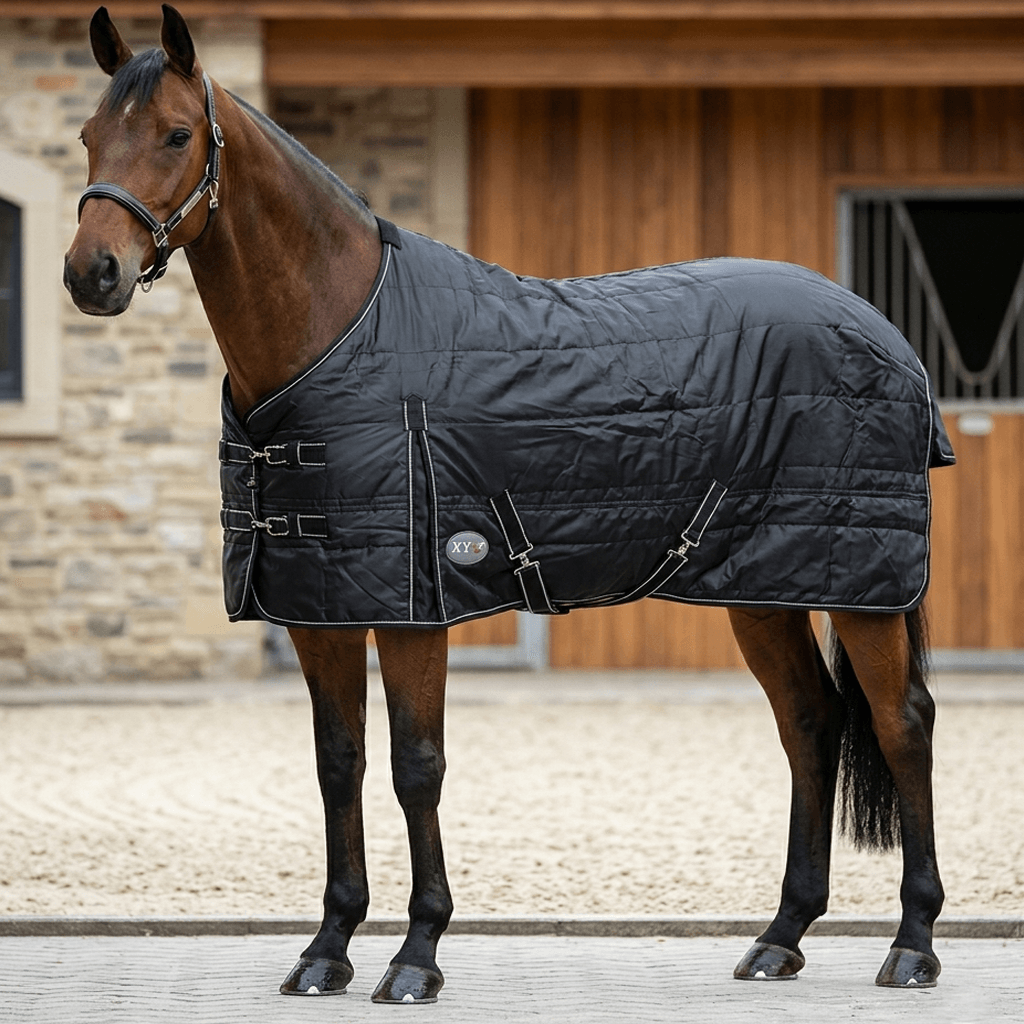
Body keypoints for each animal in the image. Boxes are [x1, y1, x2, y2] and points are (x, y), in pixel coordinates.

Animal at [64, 5, 948, 1002]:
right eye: (89, 135)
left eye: (177, 135)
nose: (91, 273)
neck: (342, 334)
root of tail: (883, 333)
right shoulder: (319, 608)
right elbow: (339, 766)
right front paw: (326, 949)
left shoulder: (413, 610)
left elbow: (416, 767)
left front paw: (416, 955)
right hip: (763, 589)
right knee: (810, 722)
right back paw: (780, 936)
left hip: (862, 588)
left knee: (901, 724)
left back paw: (912, 944)